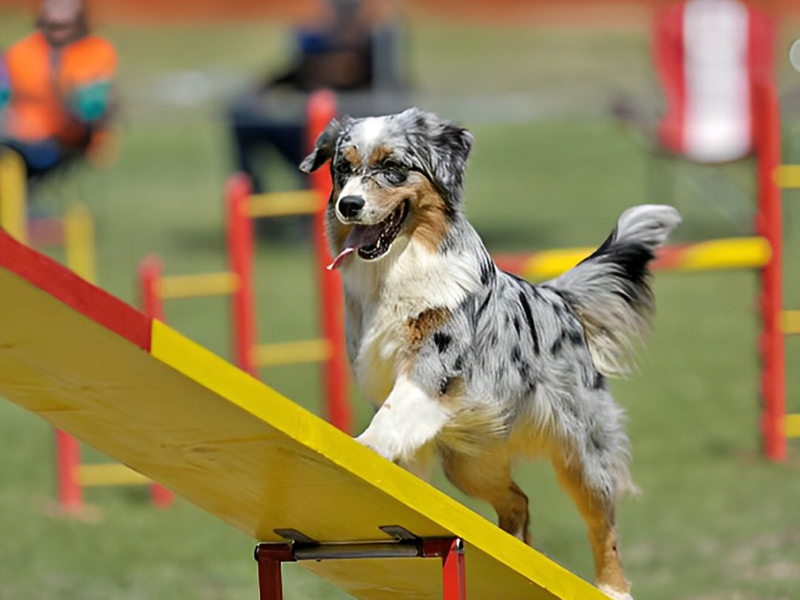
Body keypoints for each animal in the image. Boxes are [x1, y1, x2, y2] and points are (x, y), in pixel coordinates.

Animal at [302, 109, 680, 600]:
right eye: (342, 170)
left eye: (392, 167)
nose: (348, 205)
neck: (397, 268)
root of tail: (556, 297)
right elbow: (404, 445)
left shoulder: (432, 368)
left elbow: (391, 416)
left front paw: (363, 447)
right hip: (471, 463)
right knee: (518, 500)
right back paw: (516, 554)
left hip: (581, 450)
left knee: (603, 523)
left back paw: (612, 588)